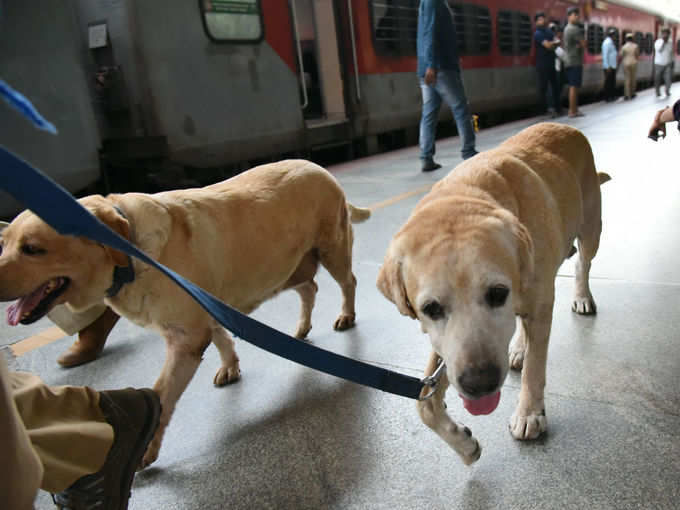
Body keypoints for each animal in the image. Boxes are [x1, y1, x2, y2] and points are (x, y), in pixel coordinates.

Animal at [0, 159, 370, 466]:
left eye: (32, 248)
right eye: (4, 244)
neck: (131, 254)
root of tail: (319, 168)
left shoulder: (185, 337)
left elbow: (161, 394)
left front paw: (146, 447)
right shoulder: (205, 310)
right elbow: (222, 339)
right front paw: (230, 366)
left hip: (332, 249)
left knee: (348, 282)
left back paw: (346, 315)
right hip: (286, 269)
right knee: (310, 288)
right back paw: (302, 327)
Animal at [378, 122, 612, 462]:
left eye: (498, 293)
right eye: (431, 308)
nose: (479, 383)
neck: (468, 195)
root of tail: (564, 125)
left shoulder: (540, 305)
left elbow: (534, 370)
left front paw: (529, 414)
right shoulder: (446, 346)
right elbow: (425, 403)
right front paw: (463, 445)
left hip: (591, 227)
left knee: (583, 262)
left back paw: (581, 297)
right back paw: (517, 348)